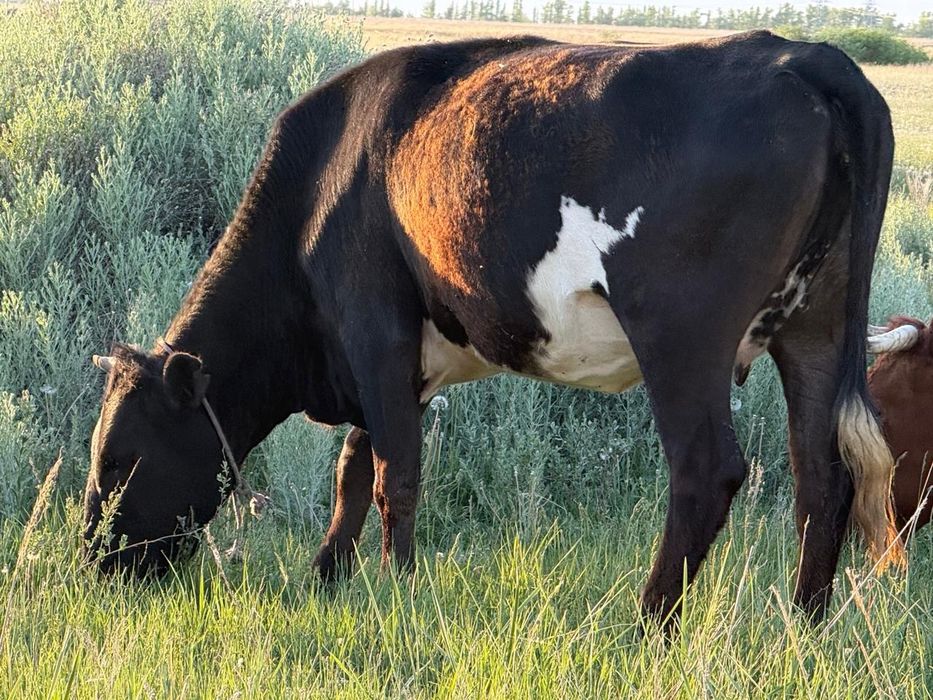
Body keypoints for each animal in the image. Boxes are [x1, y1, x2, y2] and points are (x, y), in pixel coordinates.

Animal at [83, 30, 904, 625]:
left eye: (119, 459)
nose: (90, 562)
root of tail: (806, 55)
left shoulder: (373, 327)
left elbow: (394, 475)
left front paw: (399, 593)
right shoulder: (394, 362)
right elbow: (355, 470)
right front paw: (326, 578)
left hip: (682, 332)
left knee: (707, 471)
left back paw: (646, 626)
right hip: (814, 326)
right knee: (821, 474)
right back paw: (804, 623)